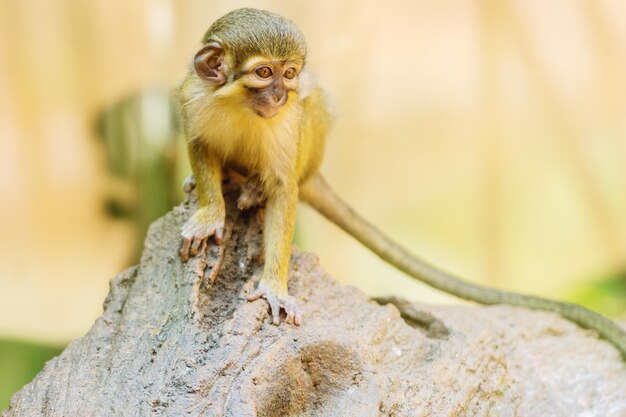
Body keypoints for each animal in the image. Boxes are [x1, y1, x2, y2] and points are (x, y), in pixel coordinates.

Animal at [176, 6, 624, 358]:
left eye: (288, 74)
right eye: (264, 72)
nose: (279, 96)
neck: (240, 105)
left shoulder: (286, 124)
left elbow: (284, 189)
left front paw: (274, 285)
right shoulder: (193, 97)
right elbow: (200, 145)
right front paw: (211, 214)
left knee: (313, 103)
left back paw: (252, 184)